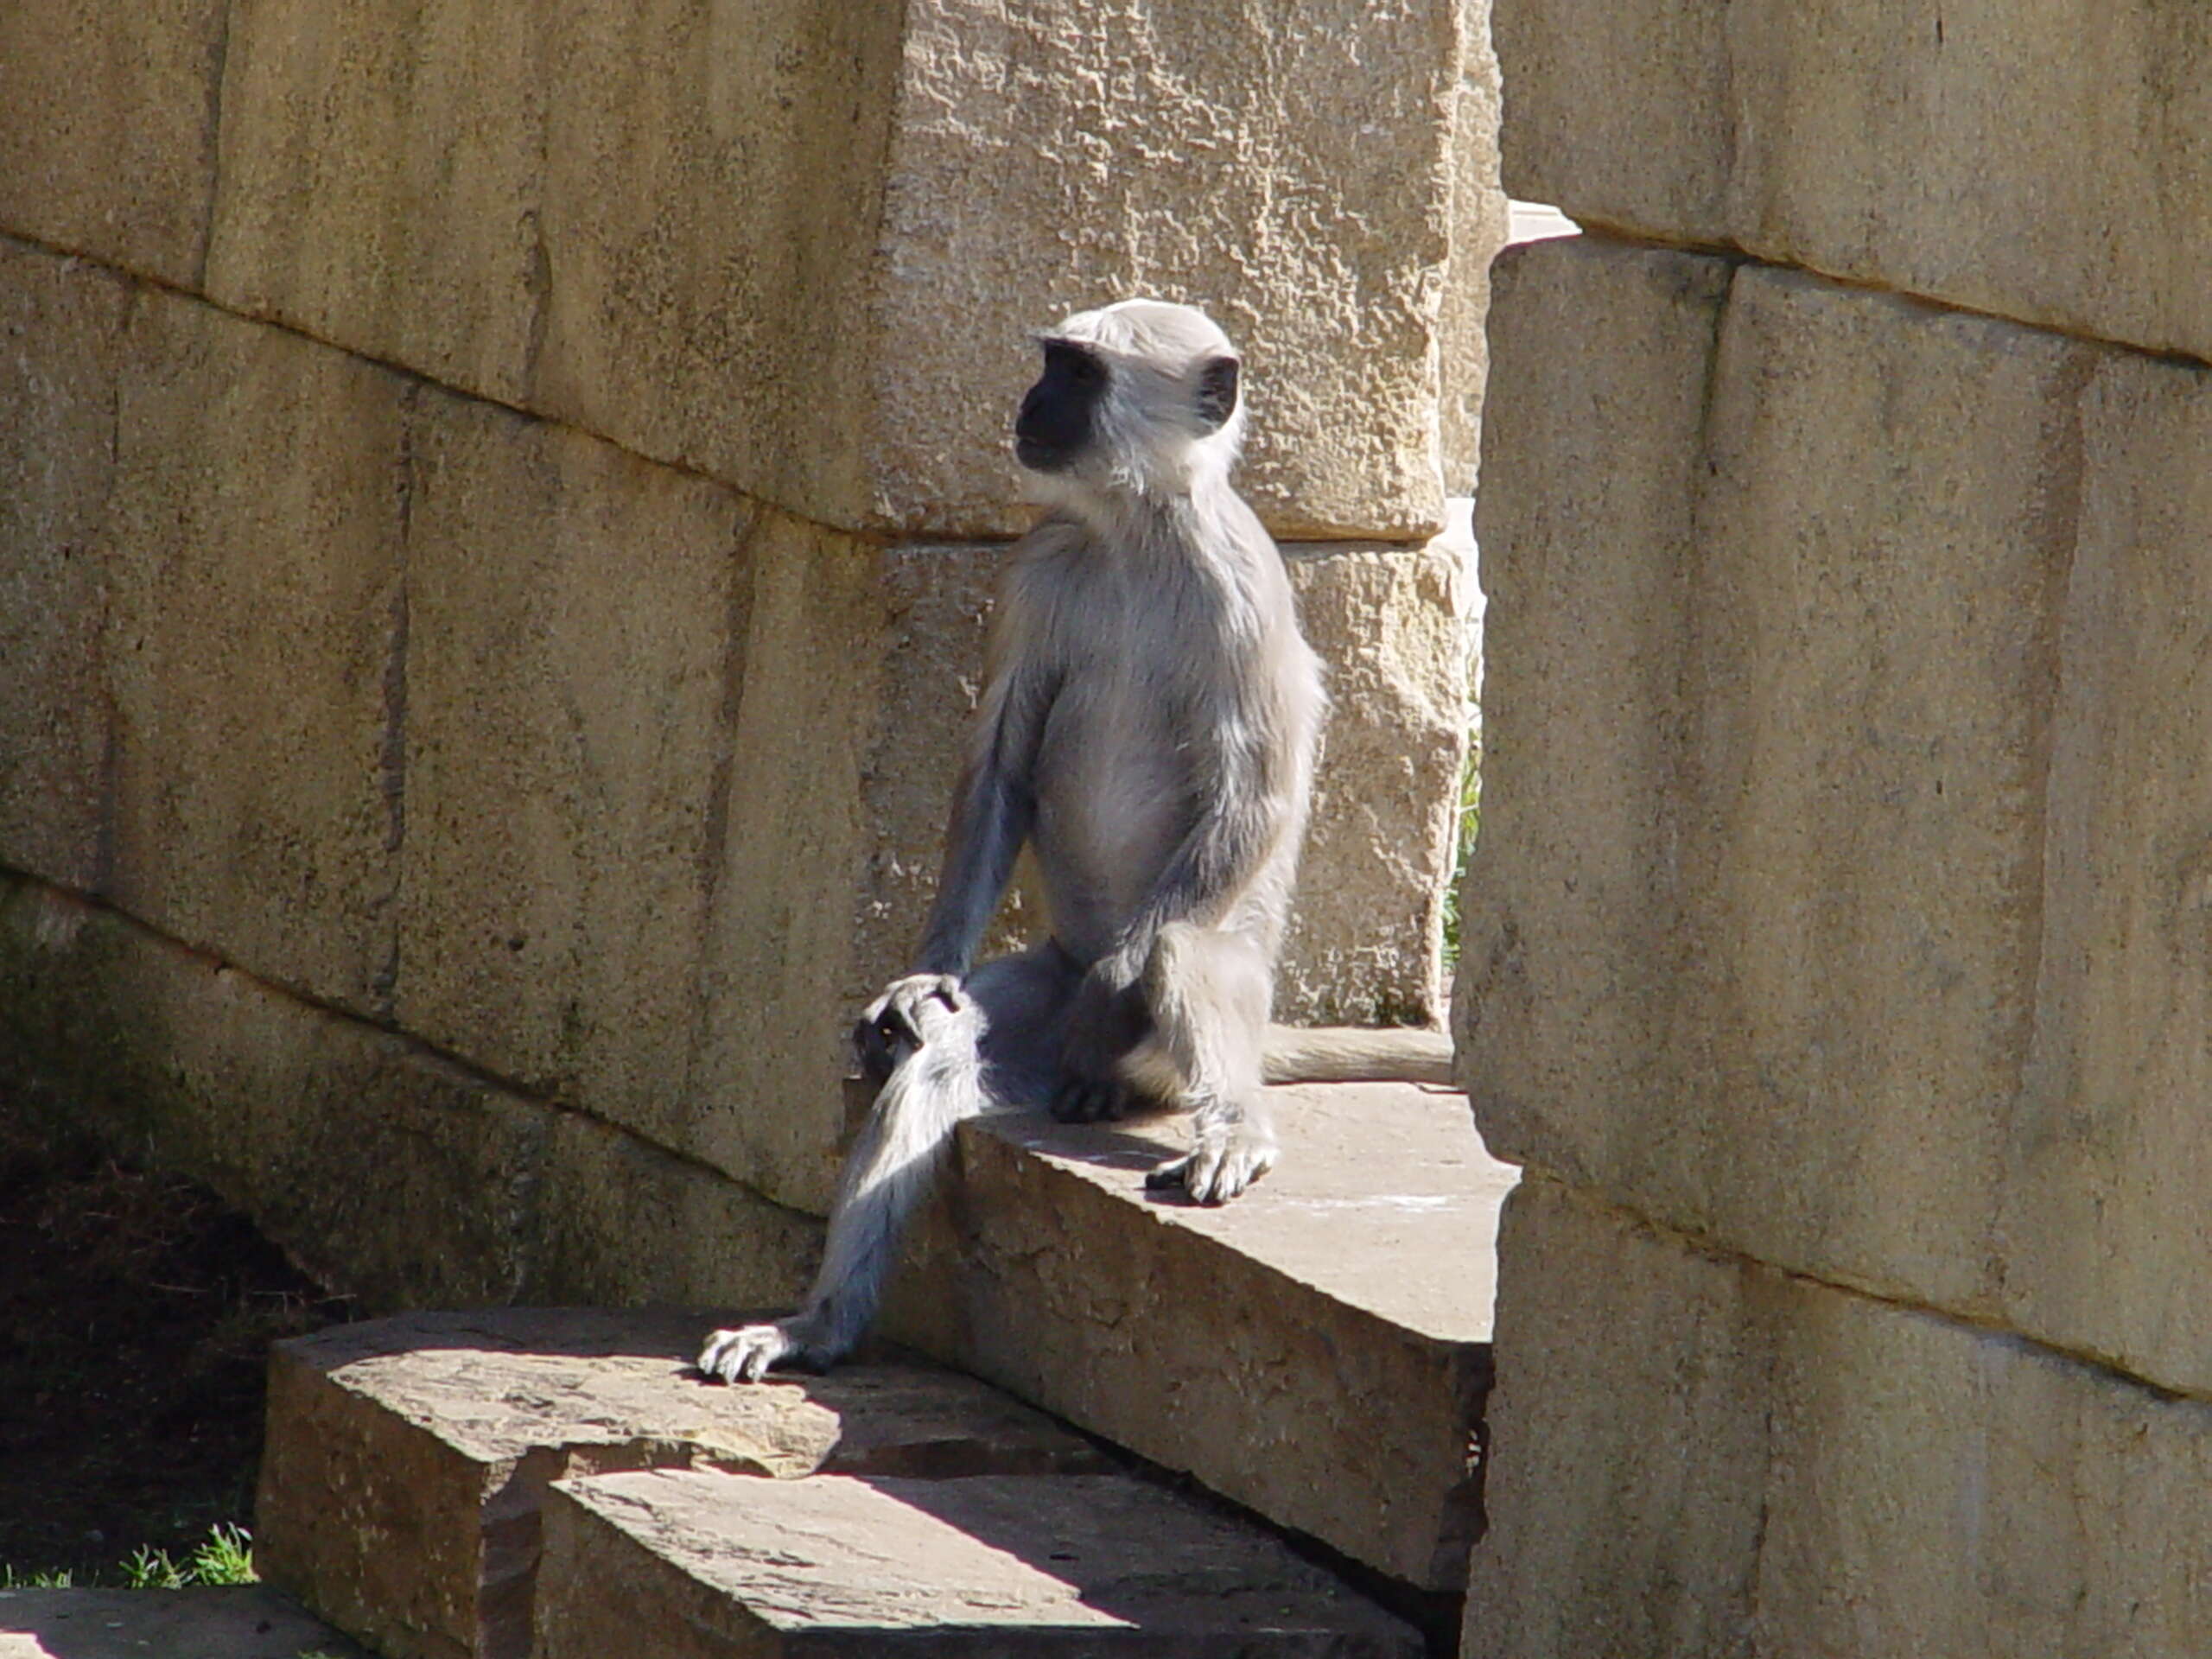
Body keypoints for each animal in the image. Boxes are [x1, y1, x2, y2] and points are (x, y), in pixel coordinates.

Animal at [694, 302, 1451, 1389]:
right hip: (1050, 983)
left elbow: (1258, 795)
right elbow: (1000, 767)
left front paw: (1118, 992)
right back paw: (818, 1327)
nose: (1031, 402)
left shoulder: (1241, 575)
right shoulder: (1039, 559)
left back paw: (1225, 1114)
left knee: (1175, 948)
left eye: (1078, 374)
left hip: (1179, 1033)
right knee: (946, 1048)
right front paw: (920, 979)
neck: (1134, 530)